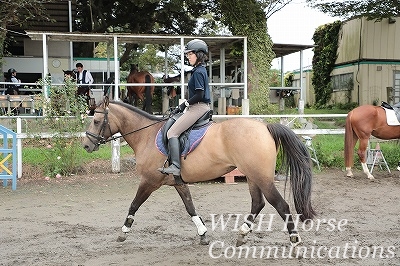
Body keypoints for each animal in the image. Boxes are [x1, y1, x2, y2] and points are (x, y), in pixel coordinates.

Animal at [83, 100, 318, 247]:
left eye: (96, 121)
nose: (86, 145)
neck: (146, 135)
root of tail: (265, 127)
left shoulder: (149, 181)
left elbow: (134, 205)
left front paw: (123, 232)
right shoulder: (178, 182)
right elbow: (190, 208)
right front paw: (203, 235)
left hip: (261, 177)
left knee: (280, 205)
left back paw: (295, 240)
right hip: (252, 176)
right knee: (257, 203)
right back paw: (242, 236)